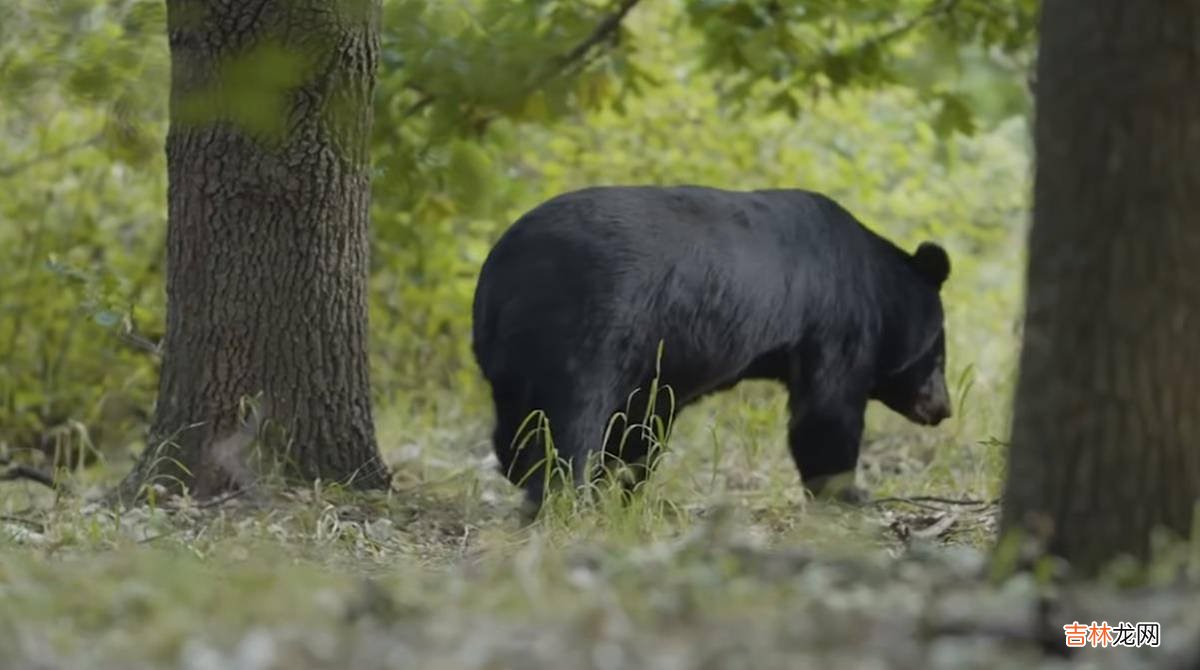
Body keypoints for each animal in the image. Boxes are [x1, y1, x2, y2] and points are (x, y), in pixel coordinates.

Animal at [472, 186, 950, 516]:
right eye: (938, 354)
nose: (943, 409)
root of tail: (507, 269)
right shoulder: (832, 325)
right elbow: (828, 414)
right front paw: (848, 494)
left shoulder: (656, 365)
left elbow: (640, 425)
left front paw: (623, 485)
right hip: (587, 330)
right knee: (570, 422)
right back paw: (561, 498)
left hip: (508, 358)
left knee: (518, 422)